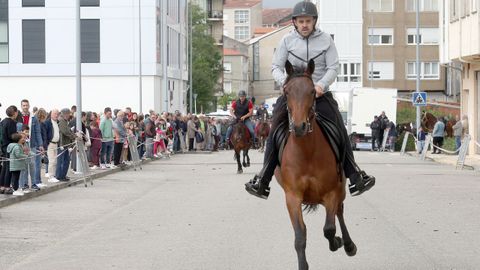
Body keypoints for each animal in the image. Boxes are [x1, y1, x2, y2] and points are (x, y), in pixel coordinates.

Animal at [274, 59, 356, 270]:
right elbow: (300, 236)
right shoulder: (292, 197)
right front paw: (303, 265)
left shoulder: (332, 192)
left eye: (312, 91)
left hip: (341, 189)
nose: (299, 126)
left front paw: (337, 242)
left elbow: (329, 229)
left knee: (339, 213)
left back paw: (348, 244)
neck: (306, 152)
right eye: (287, 91)